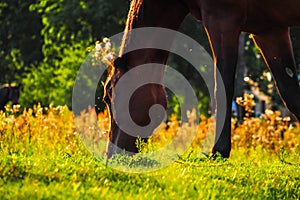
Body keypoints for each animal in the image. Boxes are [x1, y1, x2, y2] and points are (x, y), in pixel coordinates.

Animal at [103, 0, 300, 159]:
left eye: (108, 96)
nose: (111, 155)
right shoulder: (269, 30)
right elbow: (290, 93)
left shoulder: (221, 20)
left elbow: (222, 87)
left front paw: (219, 151)